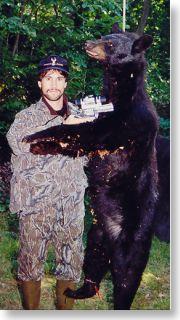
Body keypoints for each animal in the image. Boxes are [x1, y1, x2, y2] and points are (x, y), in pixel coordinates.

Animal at [24, 26, 159, 308]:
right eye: (104, 35)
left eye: (110, 43)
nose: (87, 43)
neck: (121, 90)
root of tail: (112, 234)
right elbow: (78, 143)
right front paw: (40, 145)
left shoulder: (129, 120)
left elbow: (88, 132)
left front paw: (35, 136)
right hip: (95, 234)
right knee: (93, 261)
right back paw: (77, 290)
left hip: (135, 236)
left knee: (127, 276)